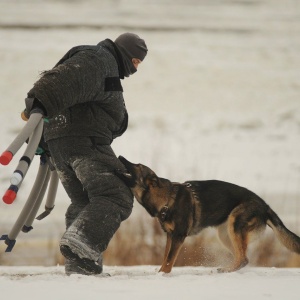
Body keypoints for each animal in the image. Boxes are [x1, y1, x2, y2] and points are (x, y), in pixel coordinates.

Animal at [116, 156, 300, 274]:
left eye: (137, 165)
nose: (120, 156)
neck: (167, 199)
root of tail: (265, 206)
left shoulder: (178, 236)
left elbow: (169, 260)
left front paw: (163, 275)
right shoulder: (170, 236)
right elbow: (165, 258)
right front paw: (160, 273)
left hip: (234, 225)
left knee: (244, 258)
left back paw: (226, 270)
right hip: (225, 234)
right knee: (242, 258)